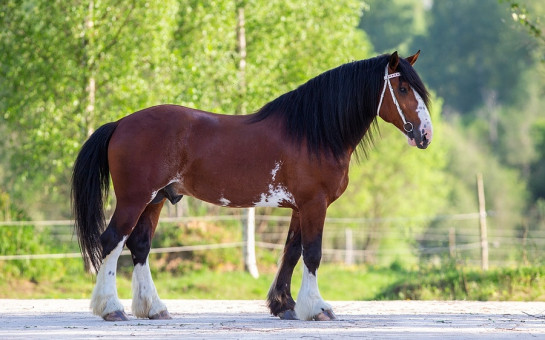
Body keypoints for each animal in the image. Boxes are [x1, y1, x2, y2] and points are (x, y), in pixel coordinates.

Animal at [72, 49, 432, 322]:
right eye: (402, 89)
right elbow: (312, 254)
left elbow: (291, 252)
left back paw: (154, 308)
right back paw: (111, 309)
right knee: (111, 241)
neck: (313, 133)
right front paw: (318, 308)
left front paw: (284, 305)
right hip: (134, 199)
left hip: (155, 199)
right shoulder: (314, 204)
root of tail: (121, 123)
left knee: (140, 246)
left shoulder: (300, 207)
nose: (425, 135)